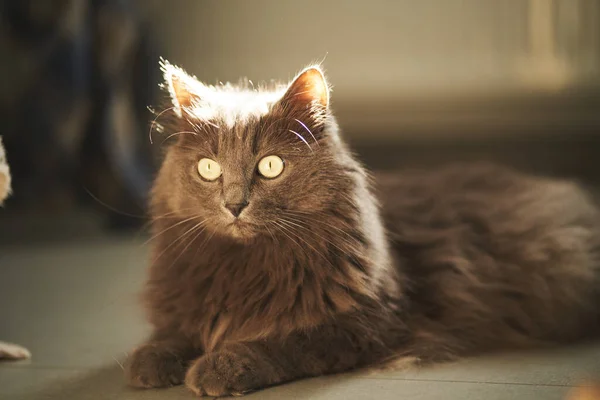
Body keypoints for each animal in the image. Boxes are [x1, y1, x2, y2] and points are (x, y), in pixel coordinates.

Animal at [125, 61, 600, 396]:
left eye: (270, 166)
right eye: (208, 169)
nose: (235, 205)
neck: (244, 268)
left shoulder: (365, 324)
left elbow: (285, 342)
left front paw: (220, 365)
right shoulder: (186, 298)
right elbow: (174, 331)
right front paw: (149, 360)